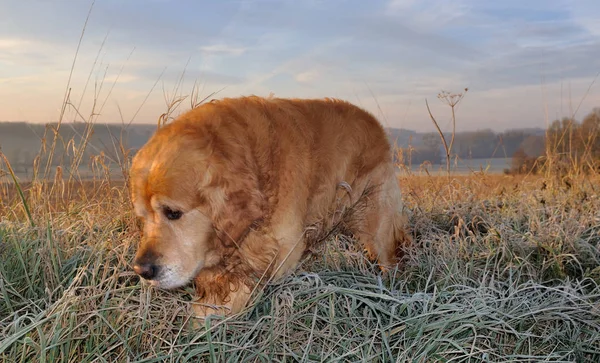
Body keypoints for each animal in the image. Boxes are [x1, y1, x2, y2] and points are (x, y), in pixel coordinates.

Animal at [130, 96, 412, 318]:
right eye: (142, 218)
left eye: (173, 213)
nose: (142, 270)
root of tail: (373, 121)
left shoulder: (284, 248)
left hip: (375, 218)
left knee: (390, 255)